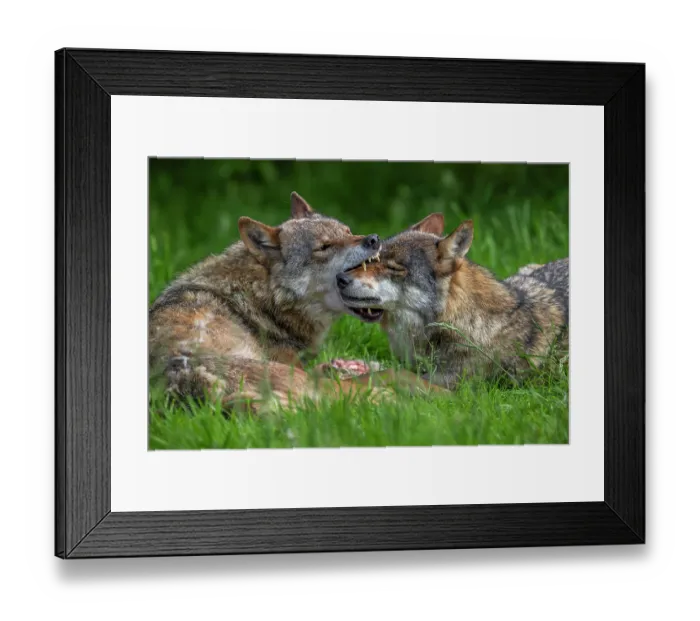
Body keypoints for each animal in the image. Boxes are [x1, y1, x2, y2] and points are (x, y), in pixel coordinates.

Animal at [336, 213, 569, 389]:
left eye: (394, 268)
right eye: (372, 260)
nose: (340, 278)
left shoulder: (444, 382)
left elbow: (387, 373)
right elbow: (376, 367)